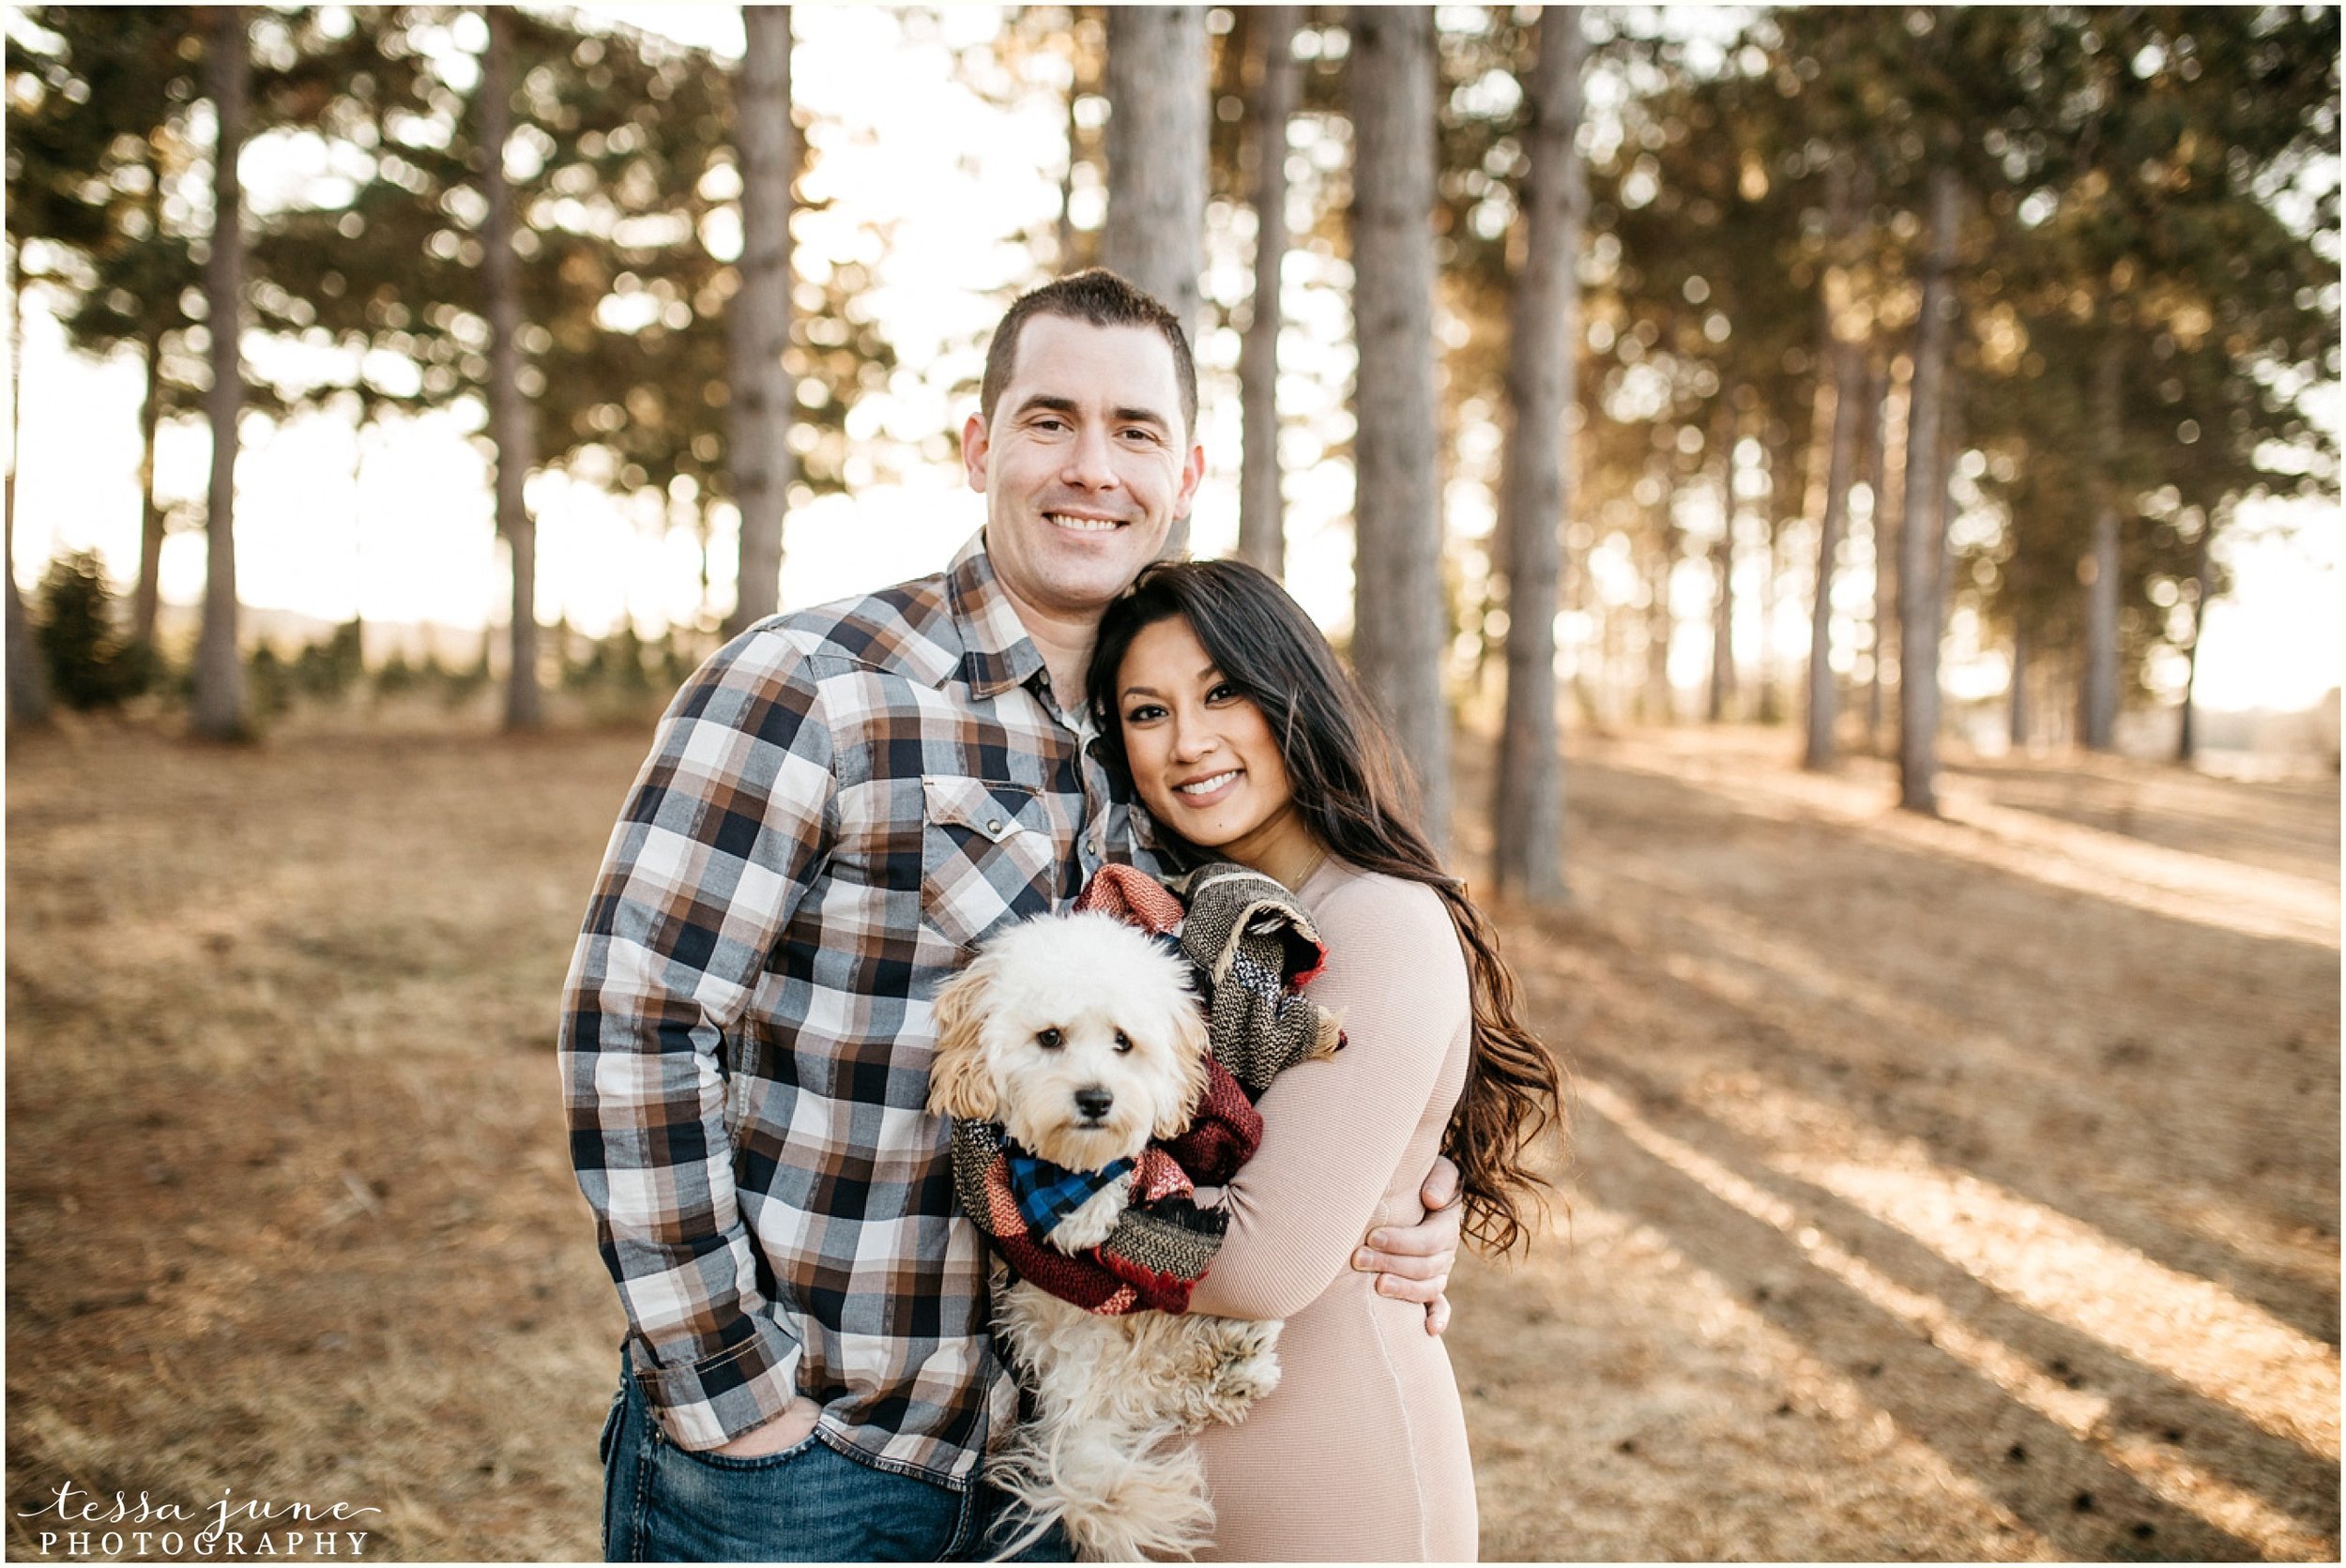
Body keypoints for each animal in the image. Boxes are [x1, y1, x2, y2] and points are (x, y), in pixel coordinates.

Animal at [924, 910, 1286, 1558]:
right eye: (1049, 1037)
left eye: (1123, 1041)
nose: (1096, 1098)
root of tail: (1073, 1406)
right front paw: (1085, 1208)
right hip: (1062, 1334)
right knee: (1148, 1375)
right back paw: (1229, 1364)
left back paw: (1233, 1362)